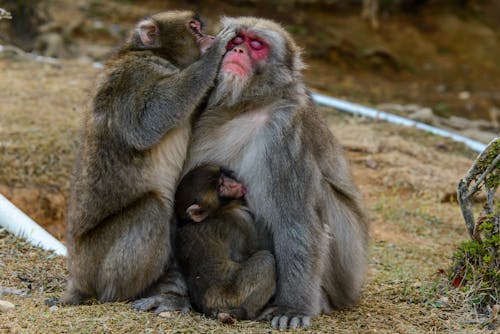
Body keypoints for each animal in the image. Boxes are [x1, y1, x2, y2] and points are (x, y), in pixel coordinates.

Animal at [60, 9, 234, 310]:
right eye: (195, 28)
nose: (209, 36)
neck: (158, 55)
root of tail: (78, 278)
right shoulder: (132, 77)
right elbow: (146, 124)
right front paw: (214, 54)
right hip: (95, 263)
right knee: (152, 209)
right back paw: (124, 293)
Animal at [175, 164, 278, 320]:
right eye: (220, 187)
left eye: (222, 178)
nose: (233, 184)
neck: (216, 212)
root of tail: (210, 307)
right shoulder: (240, 218)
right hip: (232, 295)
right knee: (265, 259)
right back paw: (251, 313)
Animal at [186, 17, 370, 328]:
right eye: (237, 39)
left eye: (256, 44)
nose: (236, 51)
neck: (249, 104)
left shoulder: (284, 136)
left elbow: (298, 223)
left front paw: (293, 308)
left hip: (349, 264)